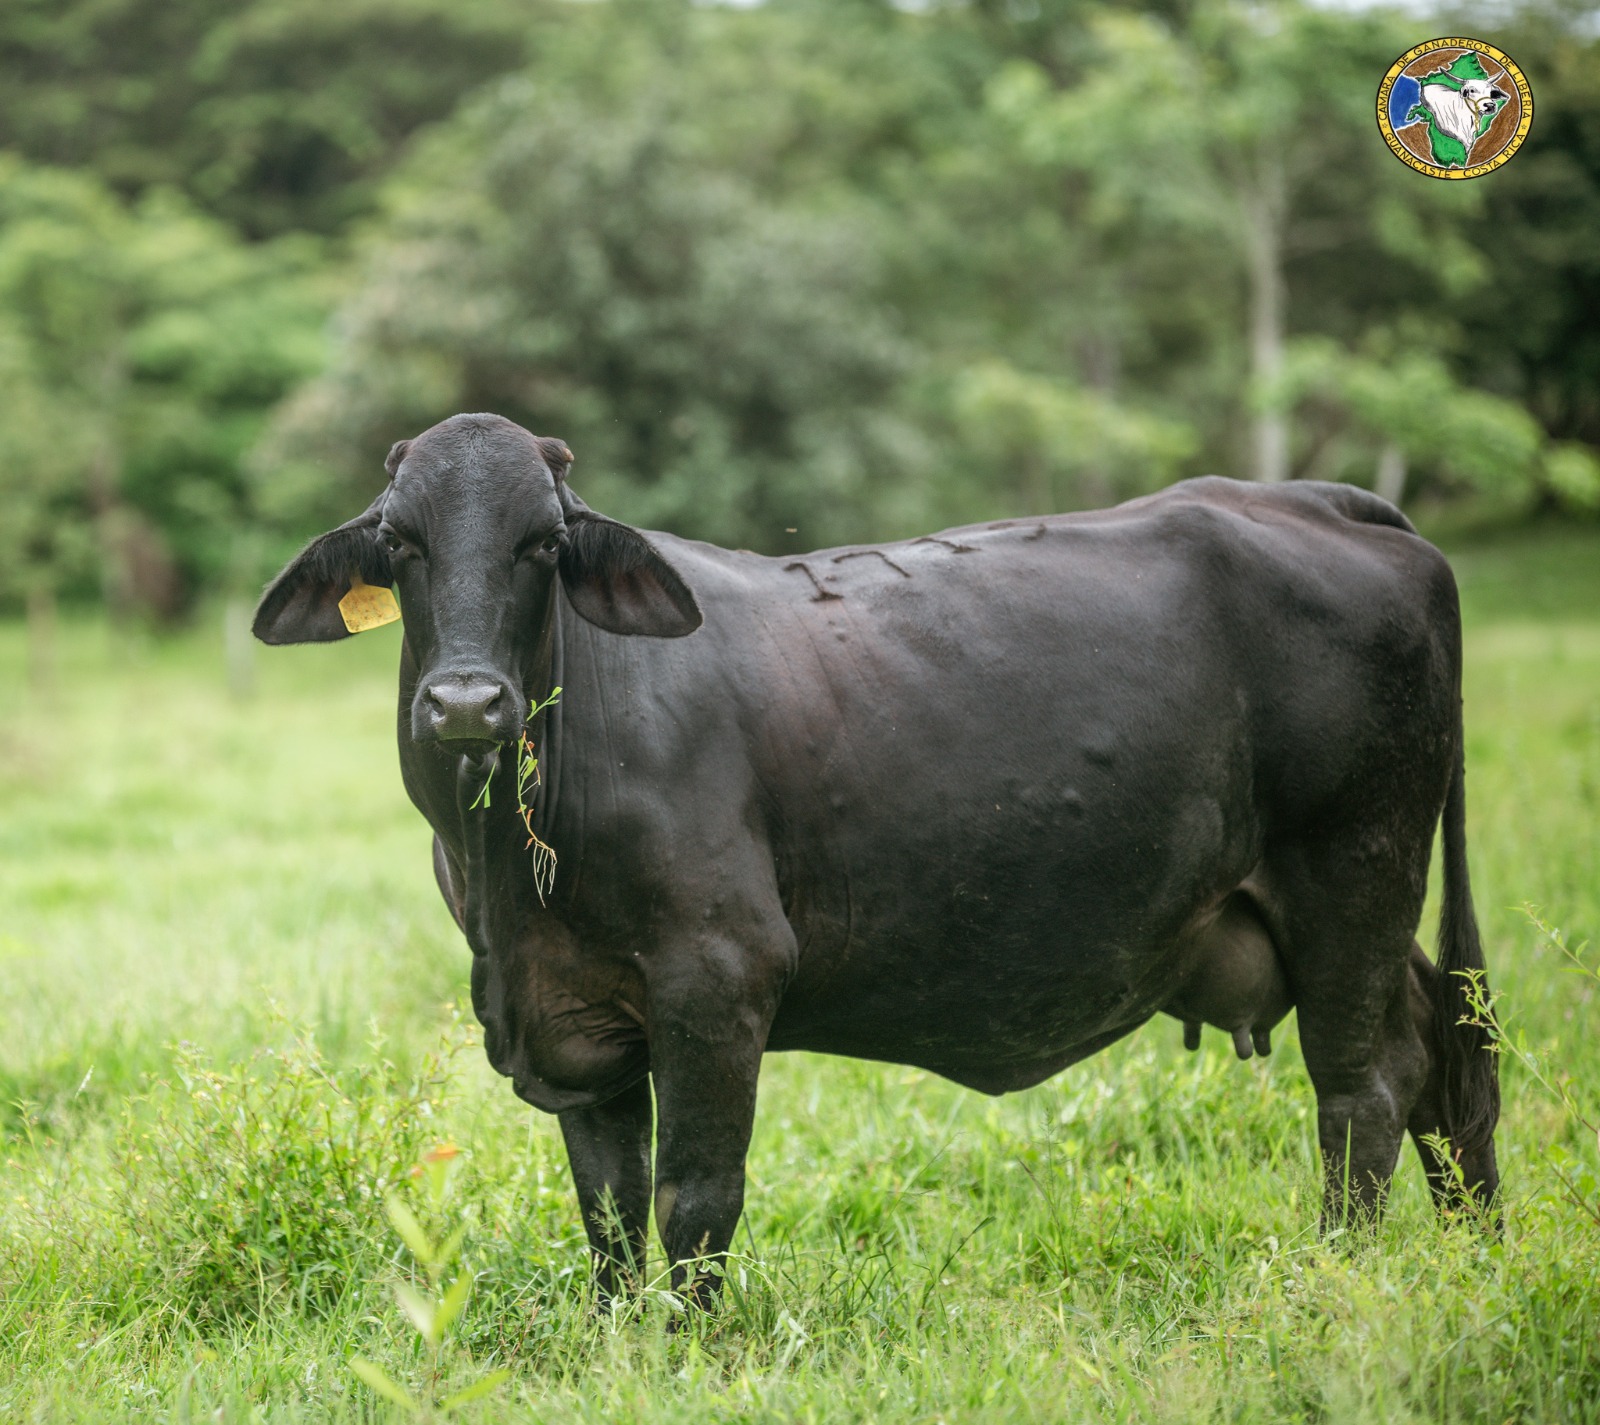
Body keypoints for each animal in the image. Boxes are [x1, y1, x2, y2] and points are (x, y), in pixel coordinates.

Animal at [259, 409, 1497, 1305]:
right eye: (401, 542)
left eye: (544, 543)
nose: (466, 703)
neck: (510, 882)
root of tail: (1316, 500)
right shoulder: (578, 1020)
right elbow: (607, 1214)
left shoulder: (717, 978)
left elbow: (692, 1199)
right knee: (1444, 1052)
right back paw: (1470, 1251)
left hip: (1354, 874)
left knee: (1361, 1092)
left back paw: (1338, 1277)